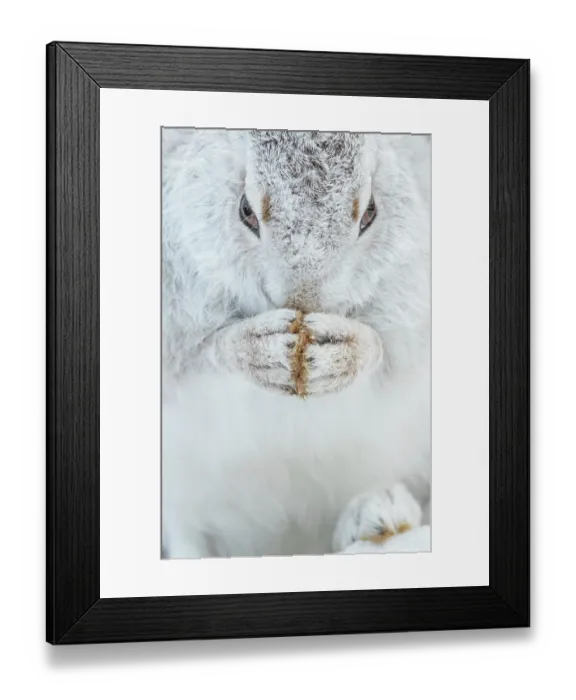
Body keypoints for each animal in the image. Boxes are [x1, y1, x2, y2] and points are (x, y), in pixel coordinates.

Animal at [161, 128, 431, 558]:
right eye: (246, 210)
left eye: (370, 212)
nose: (303, 299)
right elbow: (201, 357)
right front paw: (260, 349)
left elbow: (385, 353)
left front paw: (340, 351)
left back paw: (378, 512)